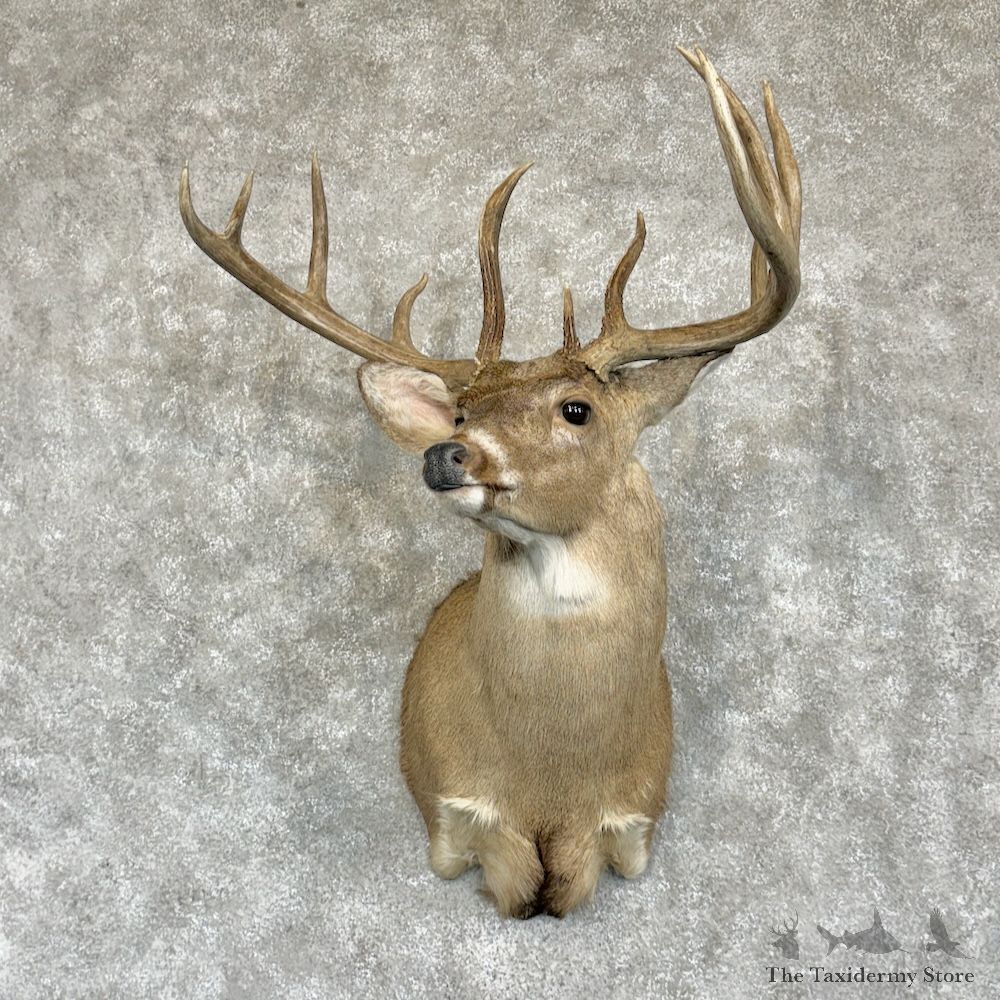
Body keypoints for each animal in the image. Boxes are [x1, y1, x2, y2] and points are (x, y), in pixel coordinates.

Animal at [179, 47, 801, 918]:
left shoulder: (635, 824)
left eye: (577, 408)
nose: (446, 454)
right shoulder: (452, 819)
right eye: (463, 410)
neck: (550, 778)